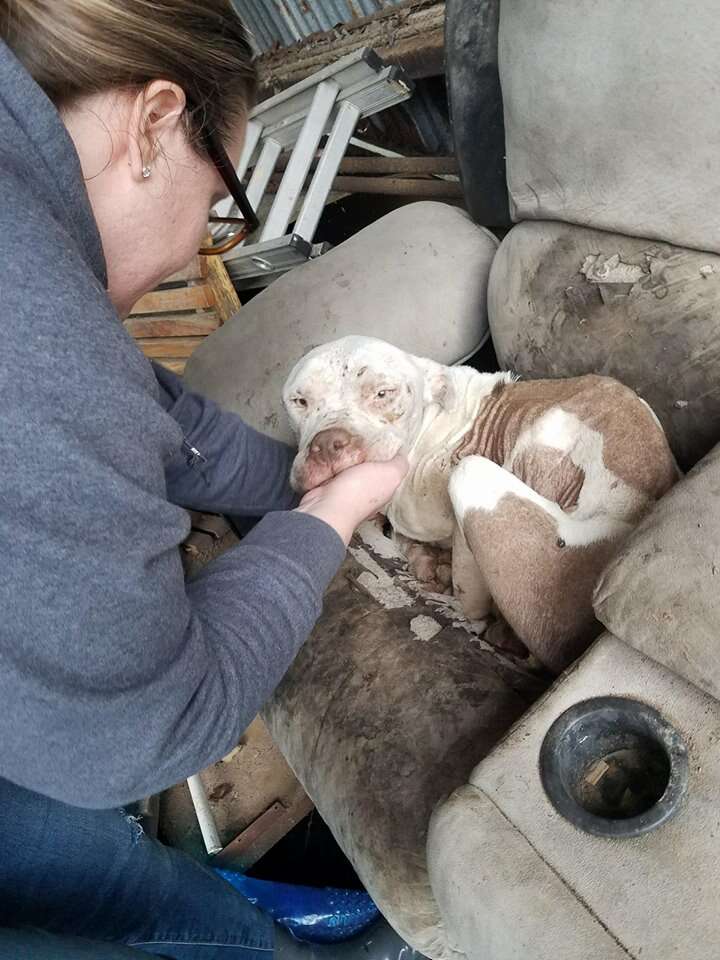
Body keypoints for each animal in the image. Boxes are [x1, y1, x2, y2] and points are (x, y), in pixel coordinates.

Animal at [282, 338, 676, 676]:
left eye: (383, 393)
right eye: (298, 401)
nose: (327, 444)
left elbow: (465, 588)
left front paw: (448, 586)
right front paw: (422, 559)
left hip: (479, 479)